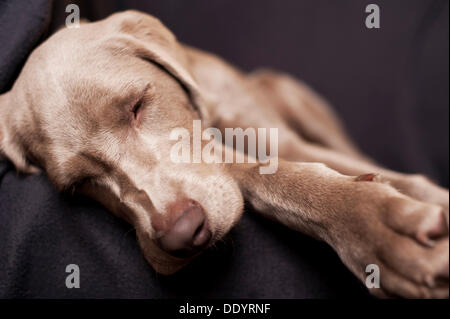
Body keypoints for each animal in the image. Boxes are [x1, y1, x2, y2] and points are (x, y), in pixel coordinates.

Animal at [0, 10, 448, 300]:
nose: (182, 235)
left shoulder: (280, 137)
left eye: (137, 105)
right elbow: (264, 177)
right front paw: (368, 223)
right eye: (79, 185)